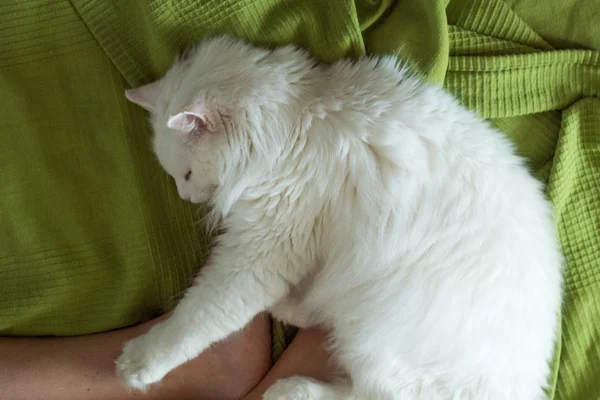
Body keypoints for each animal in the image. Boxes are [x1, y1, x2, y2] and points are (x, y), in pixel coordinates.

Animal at [120, 36, 564, 398]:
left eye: (185, 175)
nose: (186, 196)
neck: (295, 119)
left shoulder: (263, 249)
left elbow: (198, 317)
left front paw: (141, 362)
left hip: (375, 339)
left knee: (361, 394)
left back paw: (291, 390)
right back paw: (292, 310)